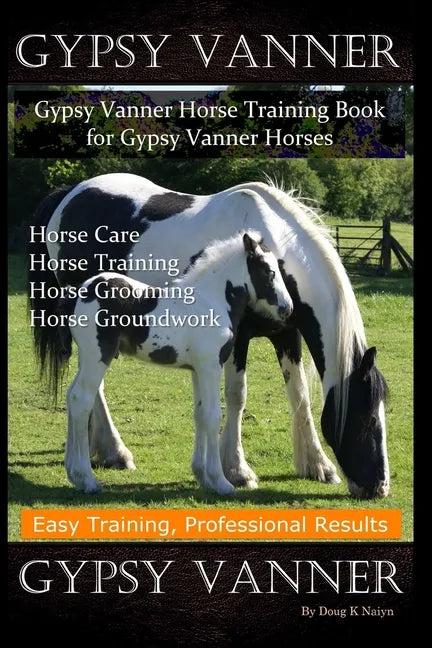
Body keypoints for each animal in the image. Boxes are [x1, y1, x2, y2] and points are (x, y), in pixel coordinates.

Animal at [56, 232, 293, 494]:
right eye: (268, 271)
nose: (288, 308)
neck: (212, 301)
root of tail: (79, 292)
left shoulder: (197, 370)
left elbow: (200, 414)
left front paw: (202, 476)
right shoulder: (211, 366)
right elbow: (212, 416)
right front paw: (220, 482)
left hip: (86, 357)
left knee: (71, 396)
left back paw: (73, 474)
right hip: (97, 356)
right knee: (81, 399)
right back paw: (87, 479)